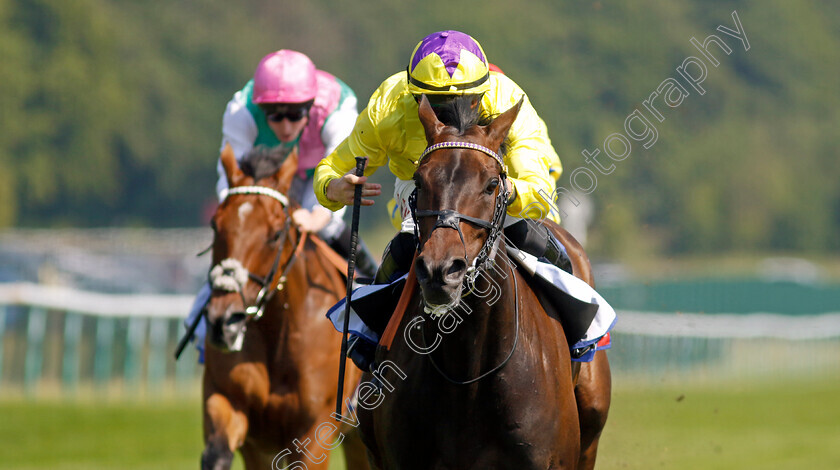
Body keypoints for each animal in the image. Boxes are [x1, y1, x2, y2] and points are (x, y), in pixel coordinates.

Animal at [202, 144, 370, 470]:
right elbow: (217, 455)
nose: (222, 322)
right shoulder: (232, 409)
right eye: (215, 225)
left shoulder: (314, 431)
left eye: (276, 234)